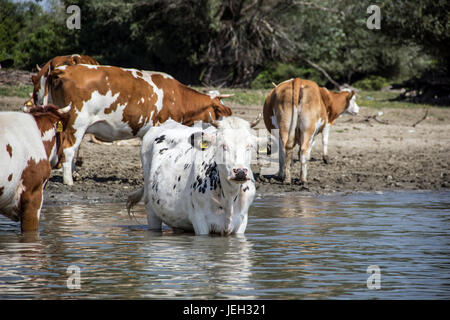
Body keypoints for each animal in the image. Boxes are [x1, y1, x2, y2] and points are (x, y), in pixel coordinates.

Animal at [46, 63, 232, 184]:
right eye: (220, 113)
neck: (177, 96)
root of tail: (63, 70)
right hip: (77, 122)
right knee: (69, 149)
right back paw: (69, 181)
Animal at [126, 115, 262, 235]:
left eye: (249, 146)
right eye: (223, 145)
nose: (240, 171)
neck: (229, 196)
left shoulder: (242, 221)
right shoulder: (200, 220)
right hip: (151, 208)